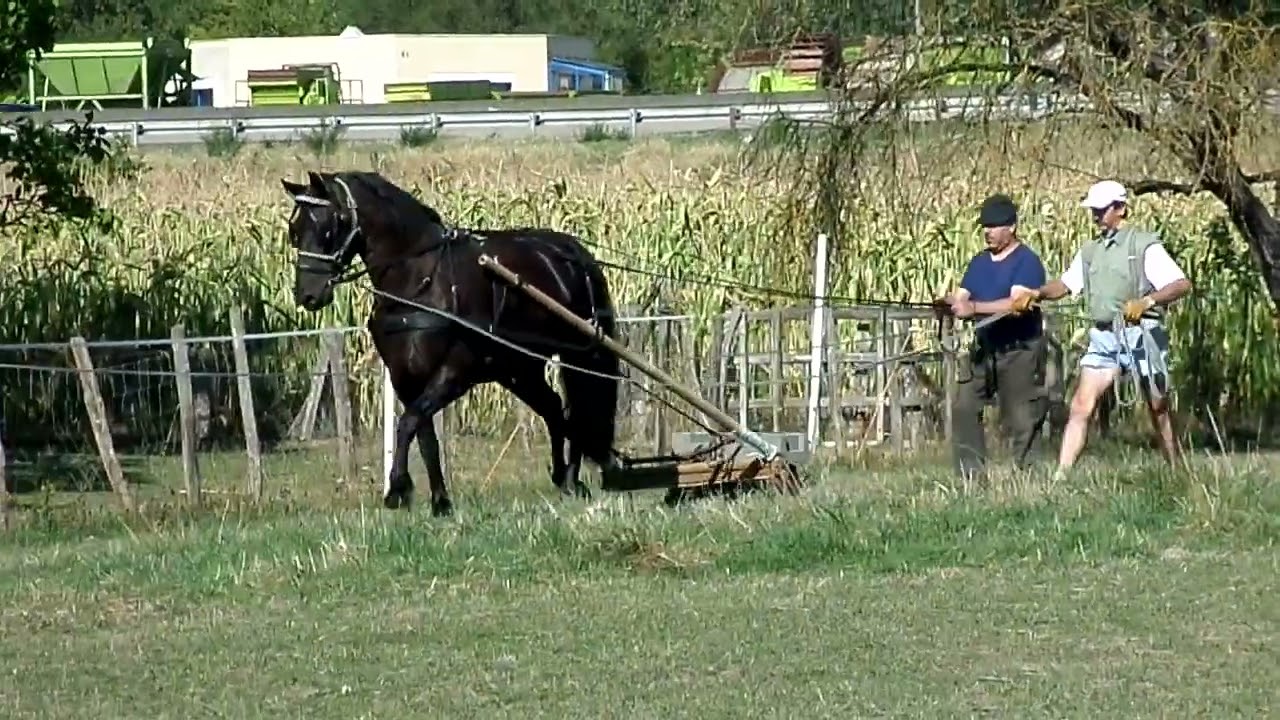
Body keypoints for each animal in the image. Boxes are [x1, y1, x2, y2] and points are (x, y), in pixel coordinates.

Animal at [279, 170, 622, 516]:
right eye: (295, 230)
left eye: (331, 225)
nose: (307, 295)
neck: (418, 281)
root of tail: (573, 252)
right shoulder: (405, 378)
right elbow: (425, 436)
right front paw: (439, 500)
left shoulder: (454, 373)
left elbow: (408, 423)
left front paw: (398, 489)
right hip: (518, 368)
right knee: (554, 407)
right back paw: (562, 477)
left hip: (576, 355)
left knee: (578, 408)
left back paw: (573, 478)